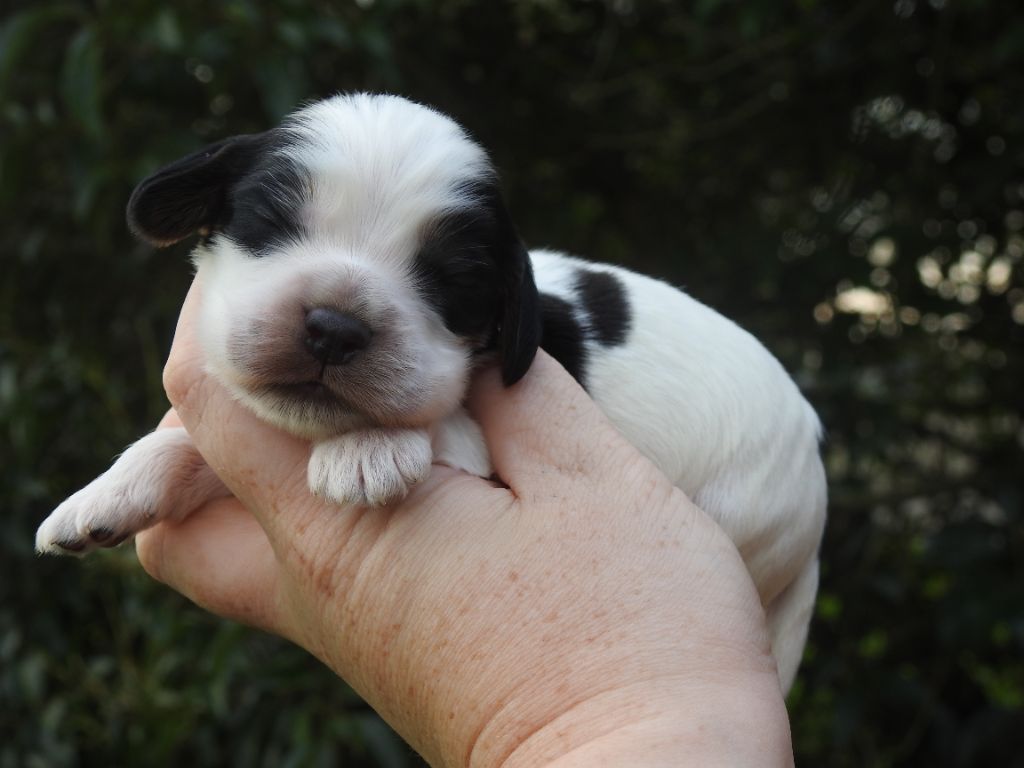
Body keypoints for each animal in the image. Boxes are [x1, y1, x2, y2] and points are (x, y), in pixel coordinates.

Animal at [36, 93, 827, 696]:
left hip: (740, 503)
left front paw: (368, 447)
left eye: (452, 281)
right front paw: (108, 492)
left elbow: (438, 414)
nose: (334, 328)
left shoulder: (478, 443)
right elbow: (186, 445)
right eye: (270, 224)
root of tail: (814, 450)